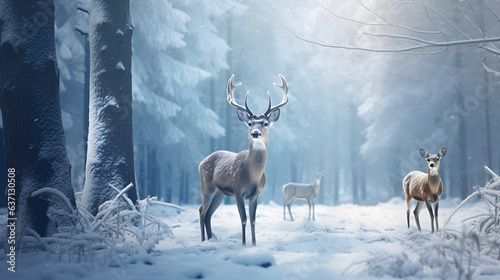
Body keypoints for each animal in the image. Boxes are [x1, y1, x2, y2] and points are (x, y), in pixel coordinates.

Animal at [196, 74, 288, 245]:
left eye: (265, 123)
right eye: (250, 123)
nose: (255, 133)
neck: (252, 175)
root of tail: (202, 161)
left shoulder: (256, 194)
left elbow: (253, 220)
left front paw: (254, 244)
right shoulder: (238, 190)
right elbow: (244, 219)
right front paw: (244, 244)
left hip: (220, 193)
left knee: (209, 214)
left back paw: (211, 240)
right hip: (207, 186)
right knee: (201, 211)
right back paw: (203, 241)